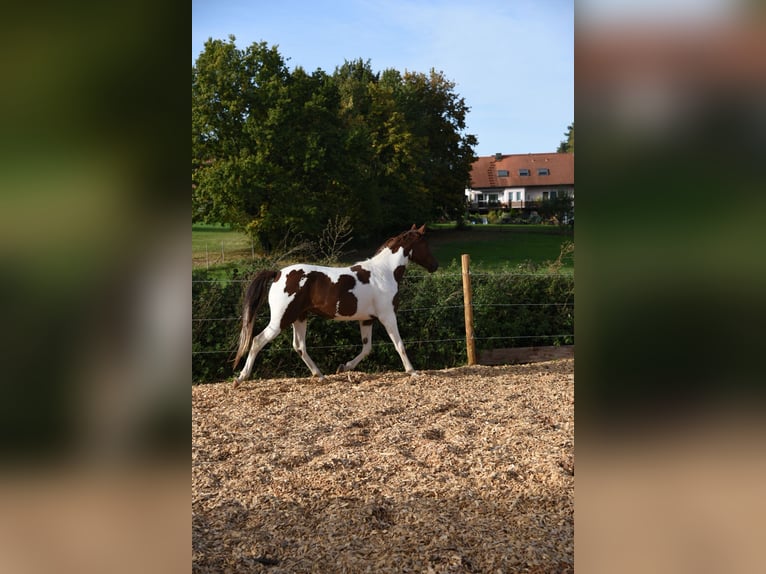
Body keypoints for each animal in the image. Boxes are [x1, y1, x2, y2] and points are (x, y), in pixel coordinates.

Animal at [232, 224, 438, 387]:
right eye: (425, 244)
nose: (435, 266)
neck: (384, 272)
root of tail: (277, 274)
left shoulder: (367, 320)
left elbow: (367, 348)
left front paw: (343, 367)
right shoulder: (387, 315)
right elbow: (399, 344)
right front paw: (412, 371)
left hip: (300, 317)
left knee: (299, 346)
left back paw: (320, 375)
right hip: (282, 319)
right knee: (257, 341)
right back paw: (241, 378)